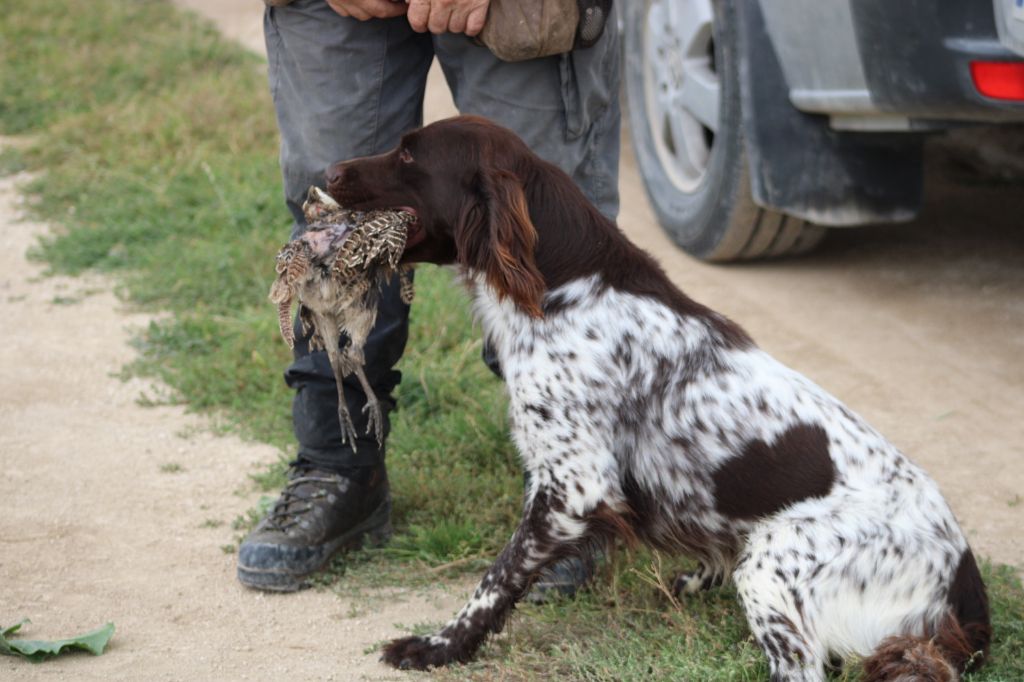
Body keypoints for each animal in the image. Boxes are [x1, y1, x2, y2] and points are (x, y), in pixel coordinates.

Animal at [323, 114, 987, 675]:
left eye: (409, 152)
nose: (328, 173)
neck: (563, 289)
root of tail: (964, 584)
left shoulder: (574, 485)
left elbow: (496, 581)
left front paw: (438, 647)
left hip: (771, 563)